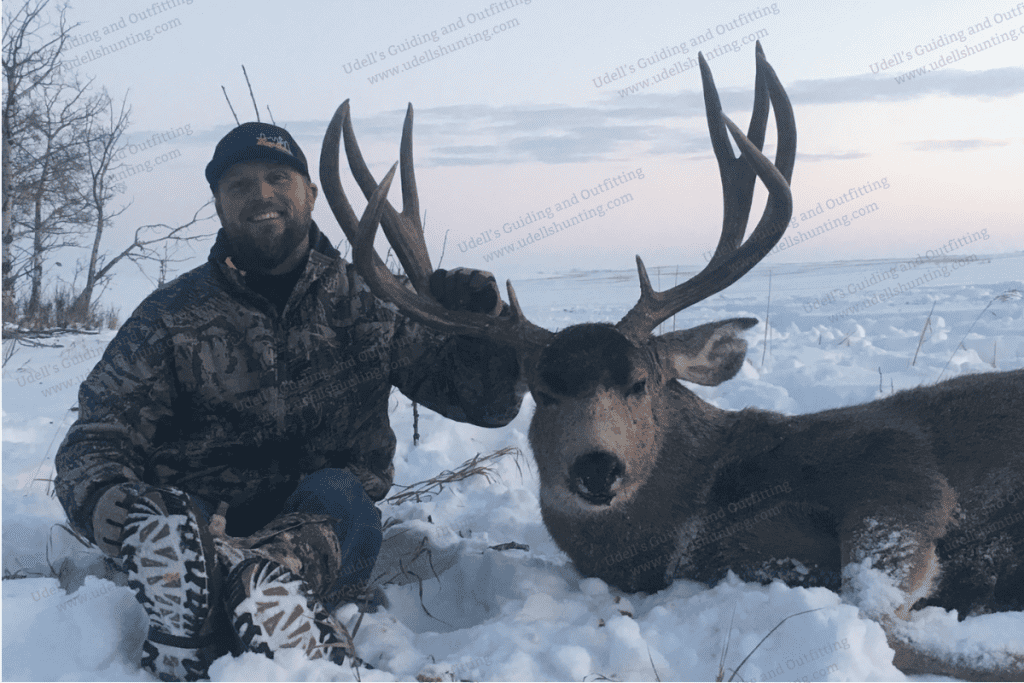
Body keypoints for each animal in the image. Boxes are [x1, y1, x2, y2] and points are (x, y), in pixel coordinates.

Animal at [320, 43, 1024, 679]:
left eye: (640, 384)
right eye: (543, 392)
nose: (596, 468)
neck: (692, 512)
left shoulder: (899, 475)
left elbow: (883, 616)